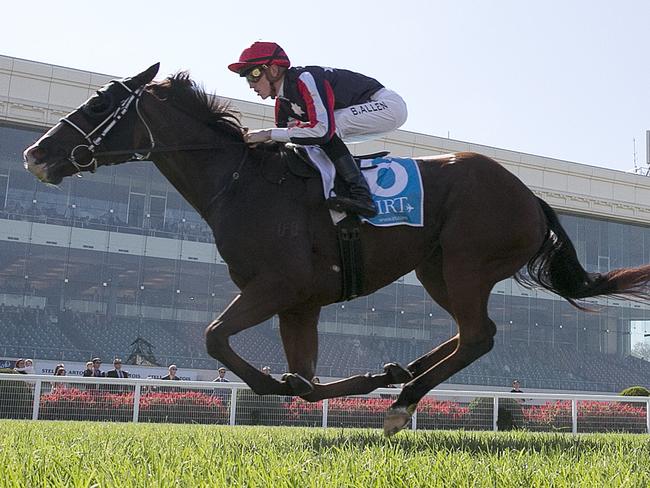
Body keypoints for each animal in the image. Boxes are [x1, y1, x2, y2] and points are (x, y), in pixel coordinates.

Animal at [22, 65, 648, 434]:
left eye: (97, 107)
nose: (33, 153)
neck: (241, 182)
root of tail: (531, 195)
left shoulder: (278, 286)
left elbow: (218, 340)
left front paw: (286, 386)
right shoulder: (301, 301)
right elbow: (304, 375)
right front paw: (351, 378)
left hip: (467, 260)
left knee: (479, 335)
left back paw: (402, 401)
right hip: (436, 268)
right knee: (465, 335)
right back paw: (401, 376)